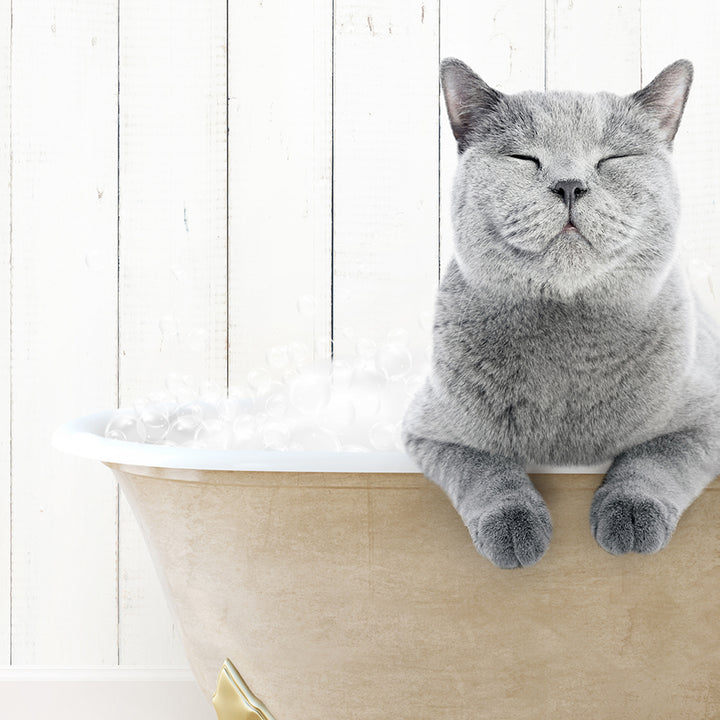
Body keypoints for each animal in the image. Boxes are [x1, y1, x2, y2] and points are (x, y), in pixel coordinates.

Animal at [400, 57, 720, 568]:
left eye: (612, 159)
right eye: (523, 159)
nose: (570, 185)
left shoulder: (706, 416)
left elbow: (656, 457)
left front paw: (631, 516)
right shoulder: (432, 430)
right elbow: (485, 467)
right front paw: (515, 528)